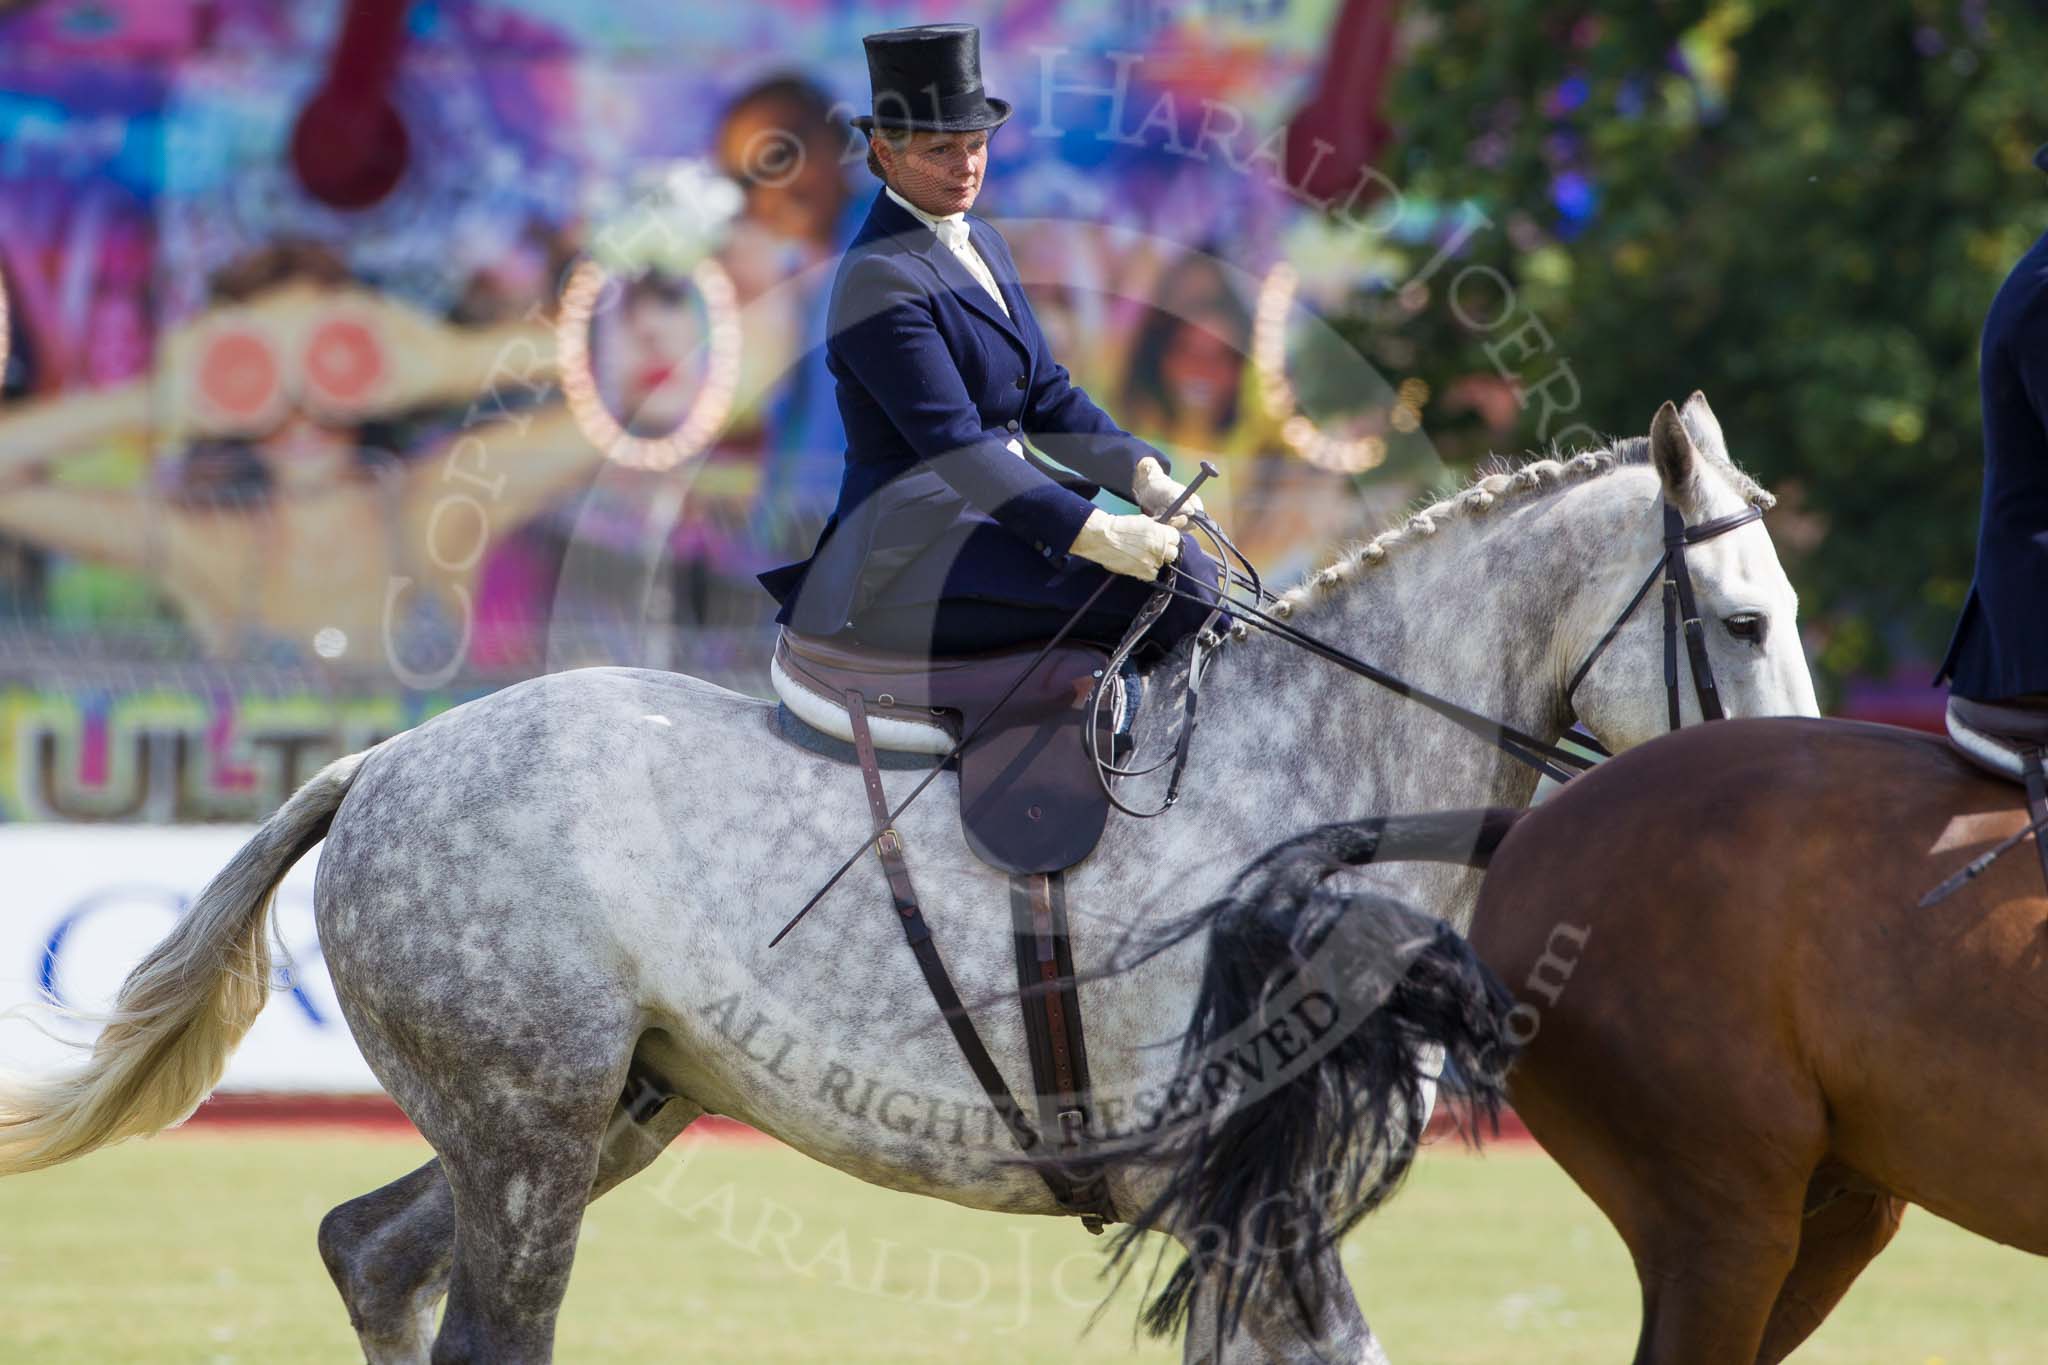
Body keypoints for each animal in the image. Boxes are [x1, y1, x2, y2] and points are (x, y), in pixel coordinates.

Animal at [4, 392, 1826, 1358]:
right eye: (1740, 621)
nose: (1792, 807)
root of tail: (377, 765)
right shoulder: (1233, 1184)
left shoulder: (1248, 1196)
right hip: (532, 1130)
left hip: (604, 1113)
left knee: (372, 1250)